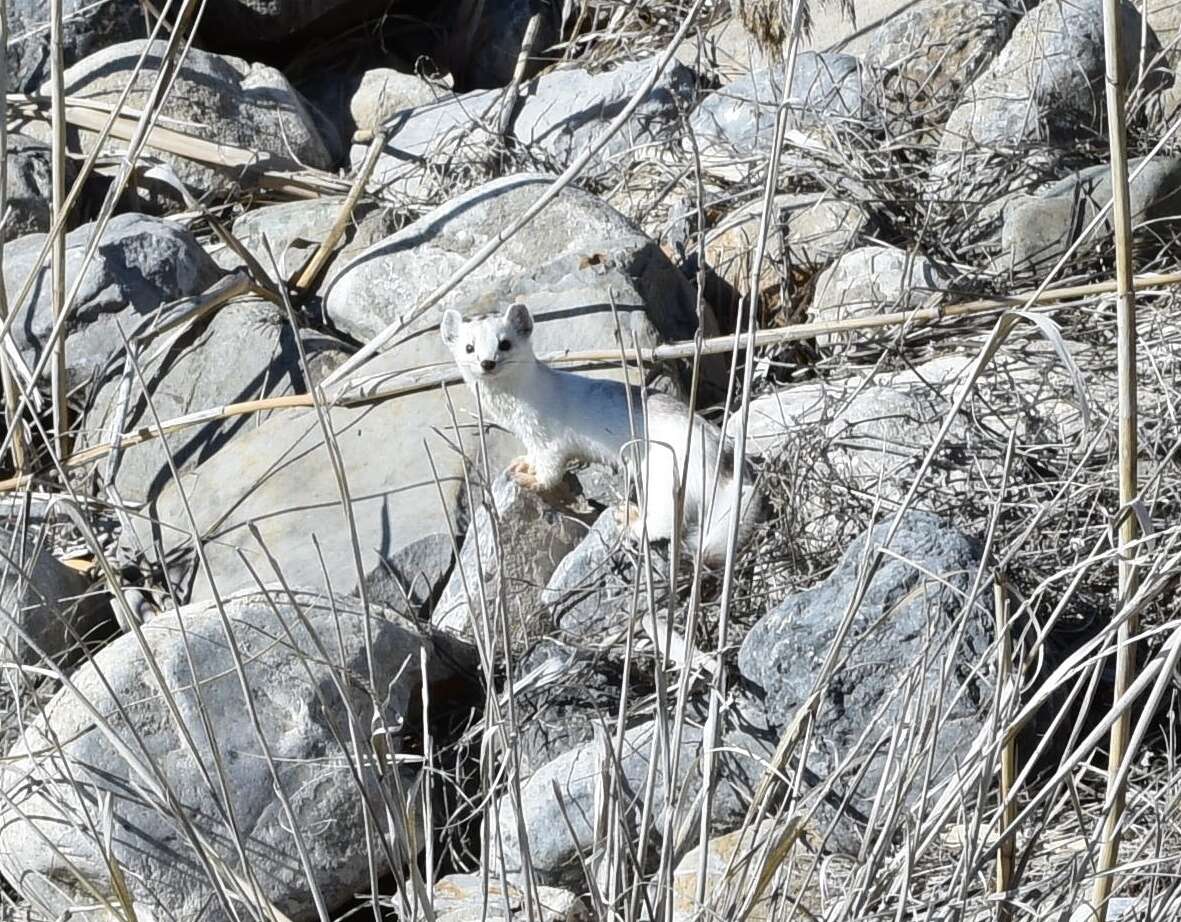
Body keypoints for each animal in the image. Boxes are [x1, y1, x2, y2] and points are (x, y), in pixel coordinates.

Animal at [439, 302, 760, 564]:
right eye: (469, 347)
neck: (515, 411)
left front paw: (531, 480)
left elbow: (551, 470)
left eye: (504, 343)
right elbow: (533, 455)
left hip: (665, 471)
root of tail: (722, 459)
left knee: (666, 520)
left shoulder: (550, 438)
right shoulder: (531, 437)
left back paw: (630, 518)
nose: (487, 362)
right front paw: (522, 464)